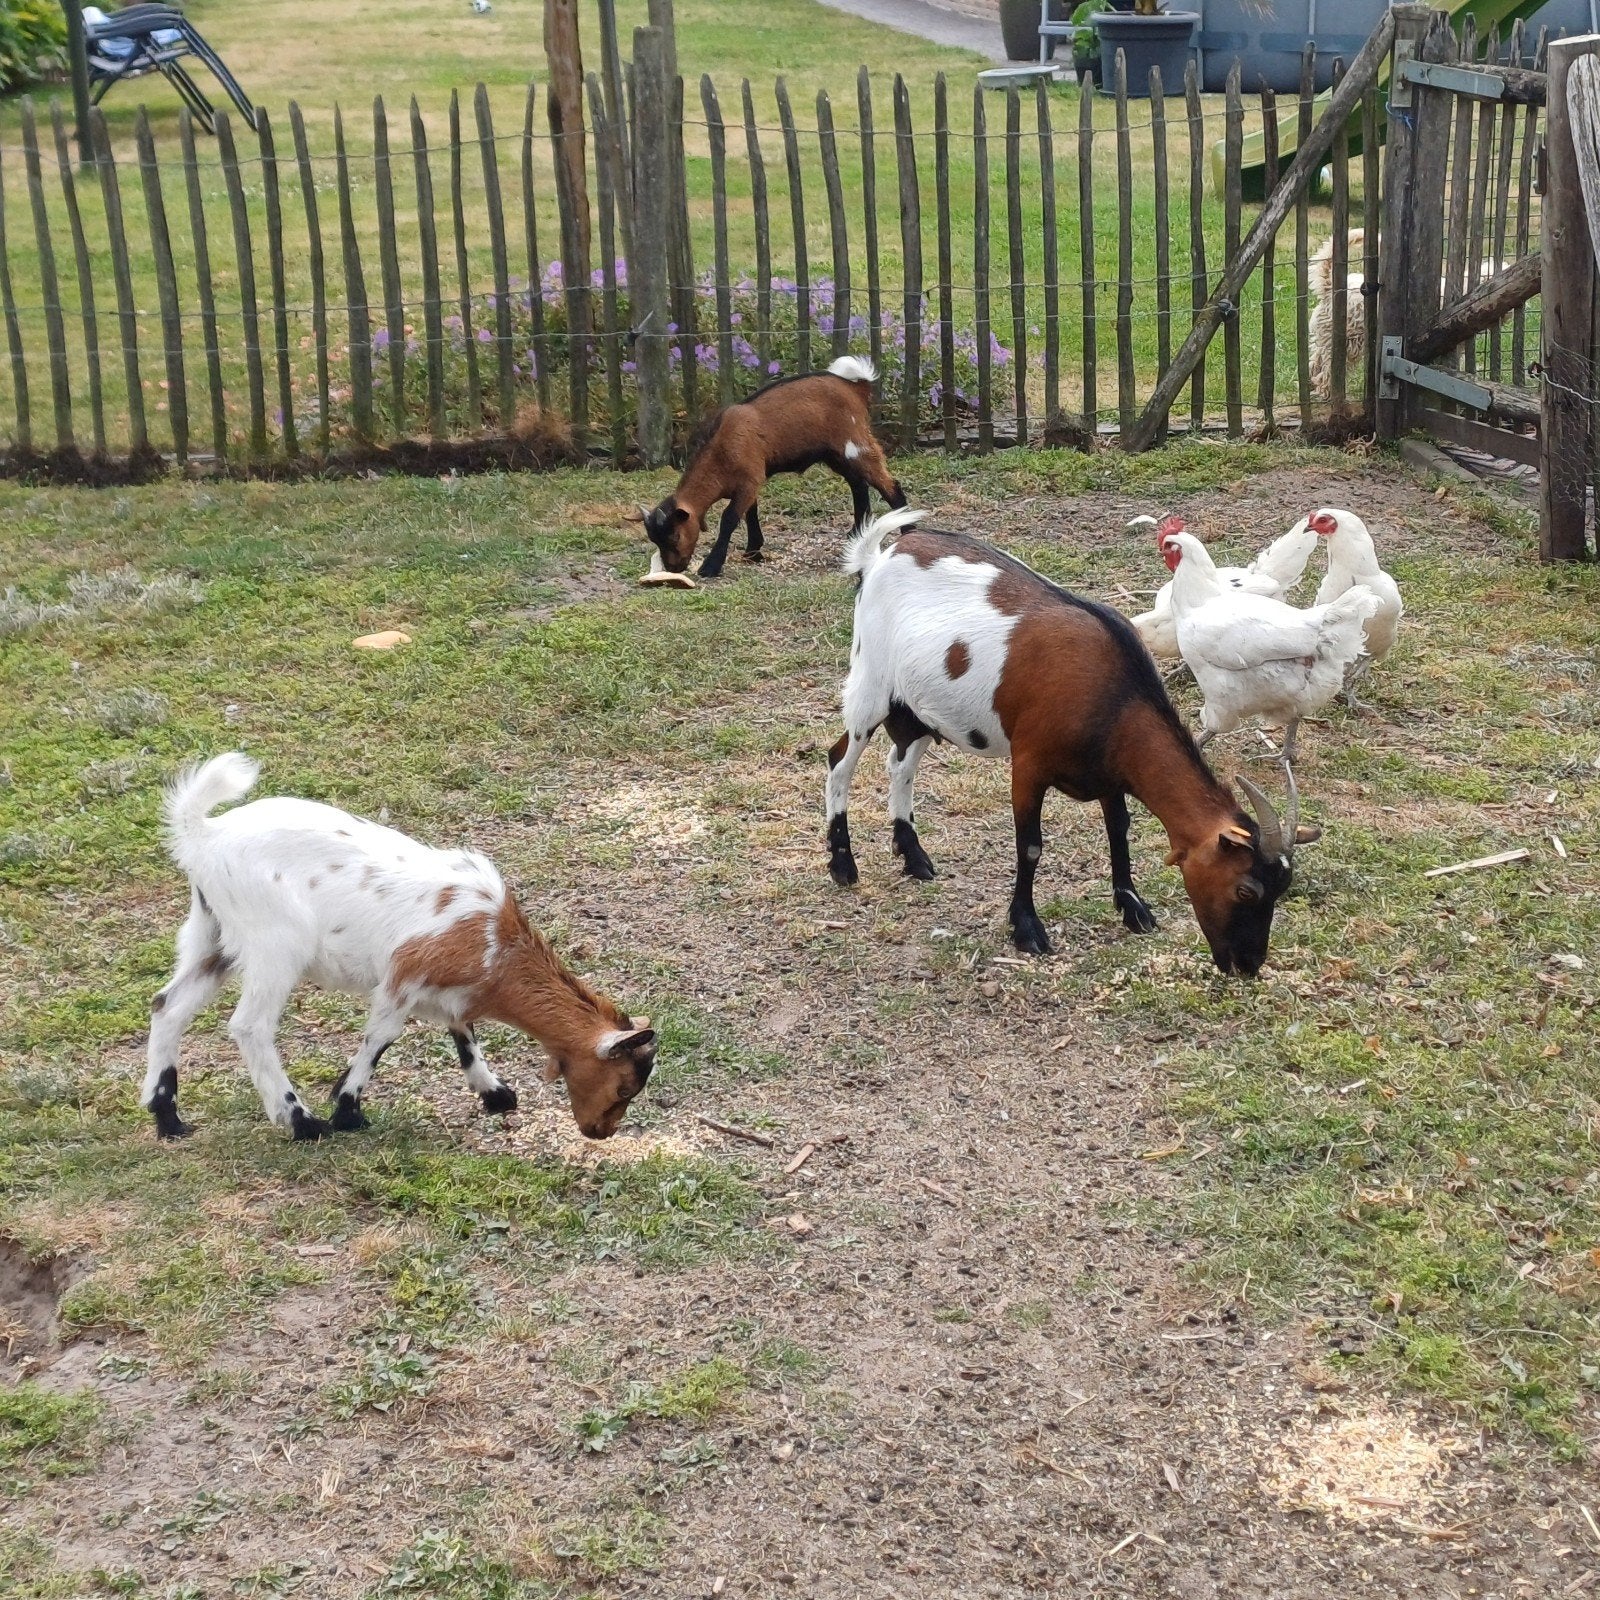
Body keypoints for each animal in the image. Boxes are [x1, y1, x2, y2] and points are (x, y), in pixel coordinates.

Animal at [142, 754, 657, 1142]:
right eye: (625, 1088)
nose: (600, 1132)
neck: (496, 944)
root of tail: (203, 835)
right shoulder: (402, 978)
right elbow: (382, 1037)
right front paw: (346, 1111)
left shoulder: (448, 987)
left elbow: (463, 1031)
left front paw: (495, 1094)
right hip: (275, 946)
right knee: (250, 1026)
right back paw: (301, 1122)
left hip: (211, 935)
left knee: (168, 1005)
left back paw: (168, 1119)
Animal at [630, 355, 908, 579]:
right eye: (654, 539)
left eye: (675, 536)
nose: (673, 568)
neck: (722, 449)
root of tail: (856, 387)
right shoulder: (749, 482)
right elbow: (750, 513)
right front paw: (753, 551)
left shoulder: (749, 480)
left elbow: (729, 518)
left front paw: (711, 566)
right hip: (837, 454)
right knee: (858, 485)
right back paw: (856, 534)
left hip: (856, 443)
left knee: (889, 485)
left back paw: (907, 530)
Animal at [825, 509, 1302, 976]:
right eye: (1246, 890)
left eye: (1282, 890)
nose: (1247, 965)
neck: (1112, 696)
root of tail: (883, 555)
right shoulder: (1028, 765)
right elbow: (1031, 846)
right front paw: (1027, 928)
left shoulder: (1109, 773)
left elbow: (1118, 831)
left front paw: (1133, 907)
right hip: (871, 681)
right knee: (840, 760)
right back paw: (843, 865)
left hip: (919, 708)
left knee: (900, 764)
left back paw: (914, 857)